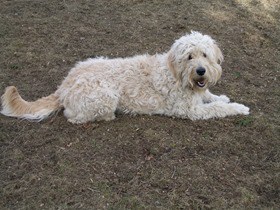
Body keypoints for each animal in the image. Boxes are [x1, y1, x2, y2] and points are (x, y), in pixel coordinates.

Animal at [0, 31, 249, 123]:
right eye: (189, 56)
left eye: (204, 55)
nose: (200, 71)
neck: (177, 75)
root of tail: (64, 86)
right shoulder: (190, 111)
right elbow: (217, 108)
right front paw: (238, 107)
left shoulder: (198, 93)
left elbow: (210, 96)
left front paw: (222, 96)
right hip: (104, 97)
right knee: (74, 117)